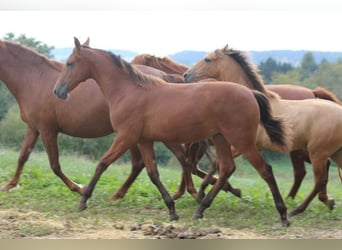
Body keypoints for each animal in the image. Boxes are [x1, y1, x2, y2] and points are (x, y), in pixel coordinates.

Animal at [0, 38, 203, 200]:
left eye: (70, 64)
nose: (58, 92)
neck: (35, 80)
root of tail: (163, 78)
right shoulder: (33, 128)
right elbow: (22, 157)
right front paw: (9, 185)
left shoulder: (47, 130)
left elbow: (55, 165)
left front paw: (80, 189)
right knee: (174, 158)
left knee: (151, 162)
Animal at [53, 37, 292, 227]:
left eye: (70, 63)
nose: (58, 91)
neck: (129, 91)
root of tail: (251, 93)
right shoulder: (144, 140)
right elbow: (153, 173)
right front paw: (172, 210)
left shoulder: (126, 137)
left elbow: (102, 163)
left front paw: (83, 199)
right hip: (221, 139)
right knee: (226, 168)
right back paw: (200, 210)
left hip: (242, 141)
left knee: (265, 170)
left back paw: (283, 215)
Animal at [184, 45, 342, 217]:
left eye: (207, 59)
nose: (186, 75)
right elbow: (219, 165)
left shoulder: (241, 146)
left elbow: (219, 165)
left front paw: (203, 194)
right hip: (329, 152)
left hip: (316, 153)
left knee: (318, 179)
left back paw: (297, 209)